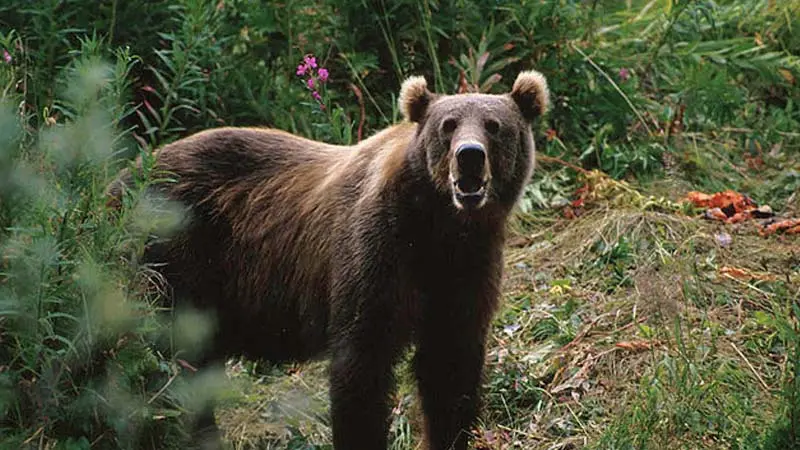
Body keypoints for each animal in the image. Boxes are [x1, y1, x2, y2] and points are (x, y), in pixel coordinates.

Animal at [107, 69, 549, 450]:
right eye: (449, 124)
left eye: (494, 125)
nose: (469, 156)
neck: (438, 226)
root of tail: (120, 178)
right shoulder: (377, 252)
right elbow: (361, 366)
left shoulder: (466, 268)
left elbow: (450, 365)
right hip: (173, 255)